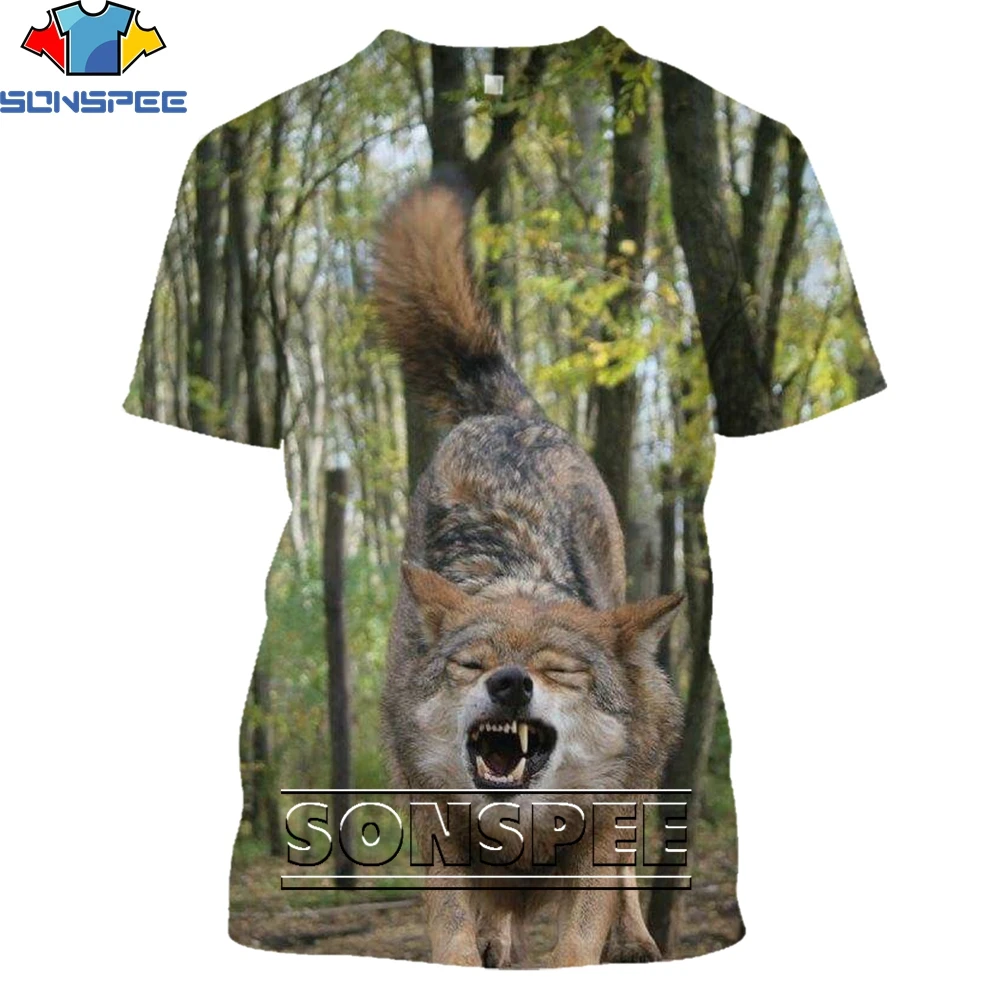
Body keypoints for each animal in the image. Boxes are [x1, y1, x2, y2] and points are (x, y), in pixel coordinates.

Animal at [375, 176, 684, 968]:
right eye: (472, 664)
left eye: (558, 670)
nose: (510, 683)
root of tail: (505, 415)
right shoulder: (437, 829)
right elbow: (455, 933)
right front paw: (479, 947)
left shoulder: (601, 831)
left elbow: (582, 932)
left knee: (628, 874)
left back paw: (636, 942)